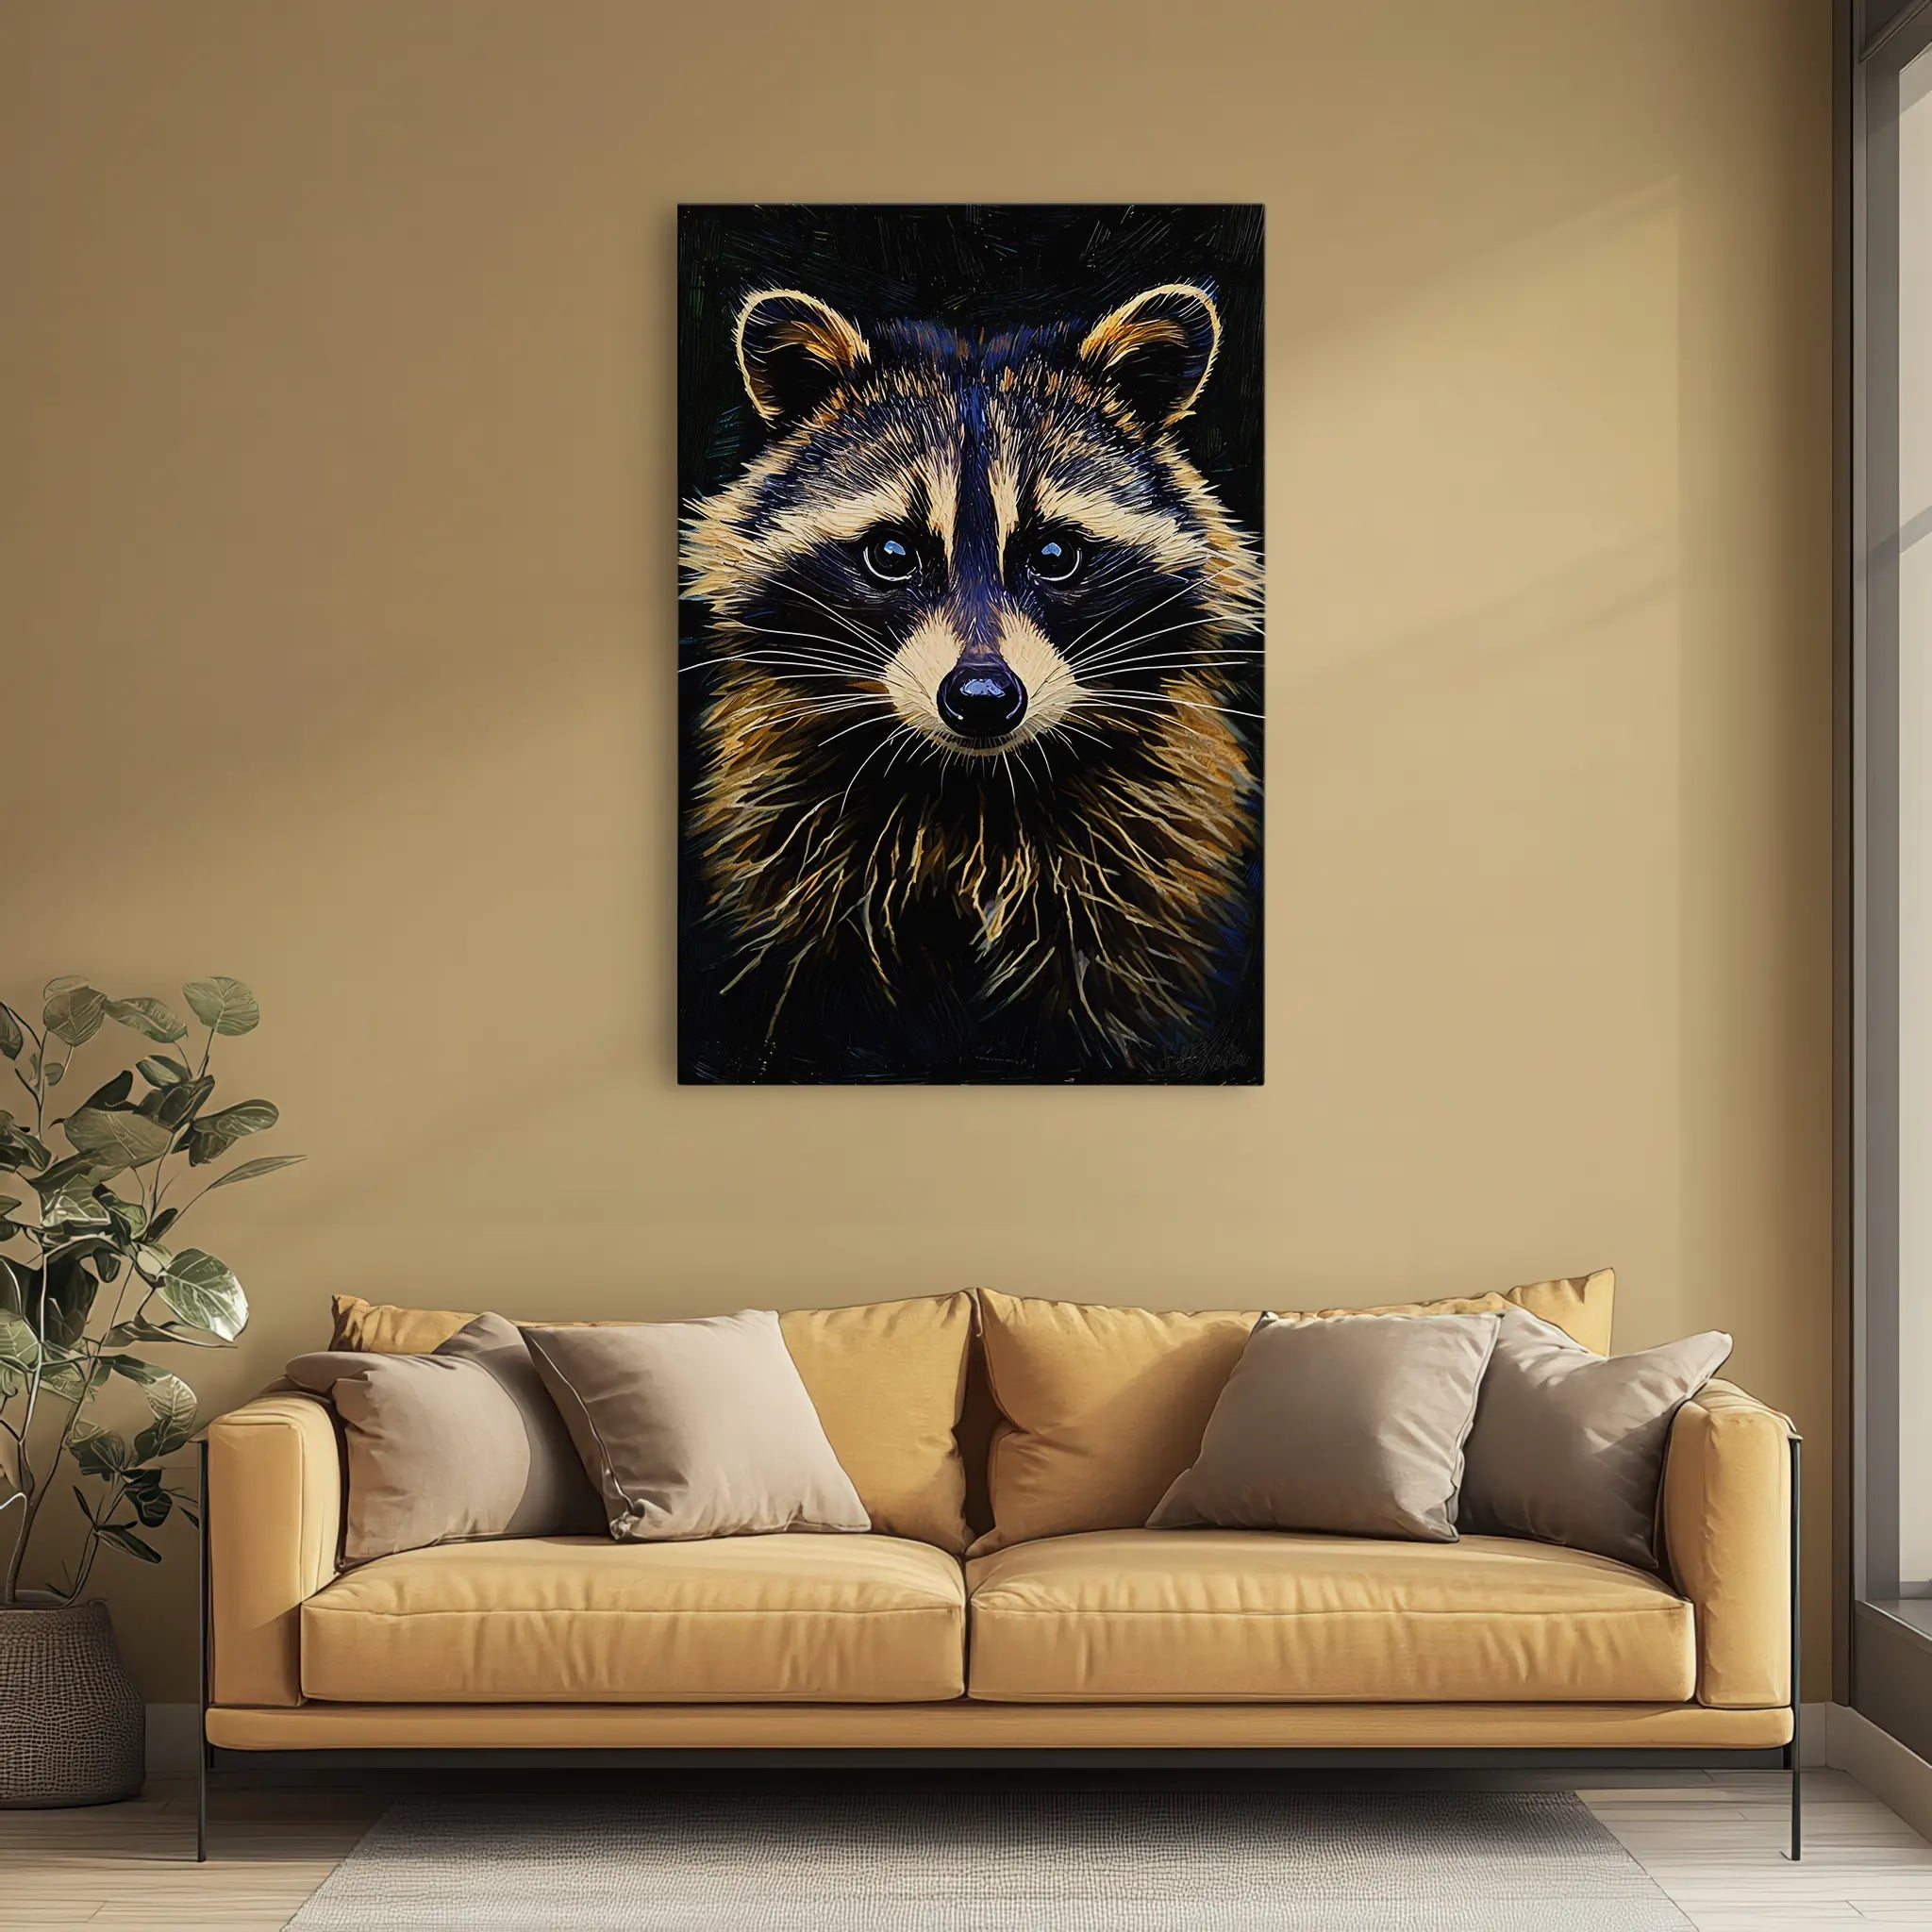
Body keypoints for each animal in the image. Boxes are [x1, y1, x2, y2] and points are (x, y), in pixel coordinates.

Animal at [680, 281, 1262, 1079]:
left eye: (1054, 554)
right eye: (892, 553)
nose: (982, 700)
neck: (972, 789)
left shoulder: (1146, 863)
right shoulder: (790, 855)